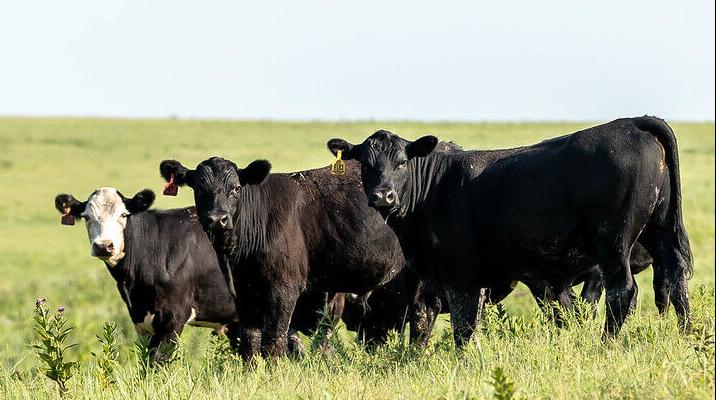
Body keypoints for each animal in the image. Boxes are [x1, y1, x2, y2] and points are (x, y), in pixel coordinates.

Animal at [54, 187, 344, 358]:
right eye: (86, 217)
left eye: (124, 214)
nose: (104, 246)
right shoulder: (143, 321)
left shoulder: (173, 316)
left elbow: (158, 362)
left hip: (325, 310)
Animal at [158, 158, 436, 360]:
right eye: (199, 189)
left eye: (235, 189)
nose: (218, 219)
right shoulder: (244, 292)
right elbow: (250, 342)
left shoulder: (284, 289)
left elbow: (274, 339)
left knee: (422, 317)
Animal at [327, 116, 692, 346]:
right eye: (366, 163)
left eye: (402, 162)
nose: (383, 195)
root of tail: (633, 122)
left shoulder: (459, 273)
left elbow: (462, 326)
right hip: (659, 230)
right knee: (675, 281)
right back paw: (688, 337)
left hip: (613, 241)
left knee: (623, 292)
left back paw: (606, 346)